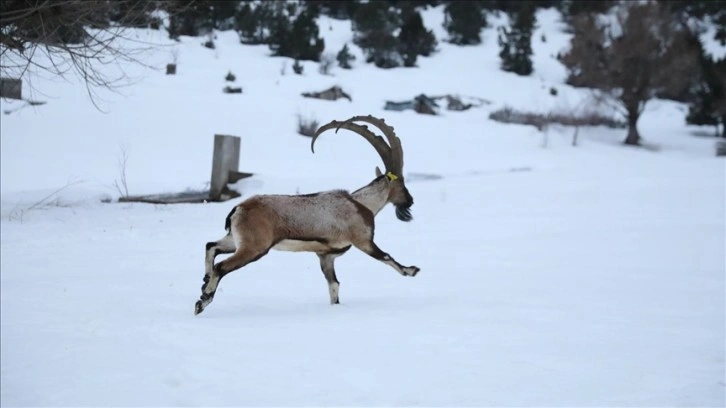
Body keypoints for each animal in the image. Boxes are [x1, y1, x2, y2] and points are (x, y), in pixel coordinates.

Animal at [196, 115, 420, 316]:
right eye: (402, 183)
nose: (410, 200)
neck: (361, 204)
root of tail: (238, 209)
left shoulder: (326, 256)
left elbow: (334, 285)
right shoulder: (363, 240)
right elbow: (386, 256)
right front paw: (412, 270)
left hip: (235, 240)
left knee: (211, 246)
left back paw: (204, 282)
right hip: (254, 247)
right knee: (221, 266)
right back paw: (203, 301)